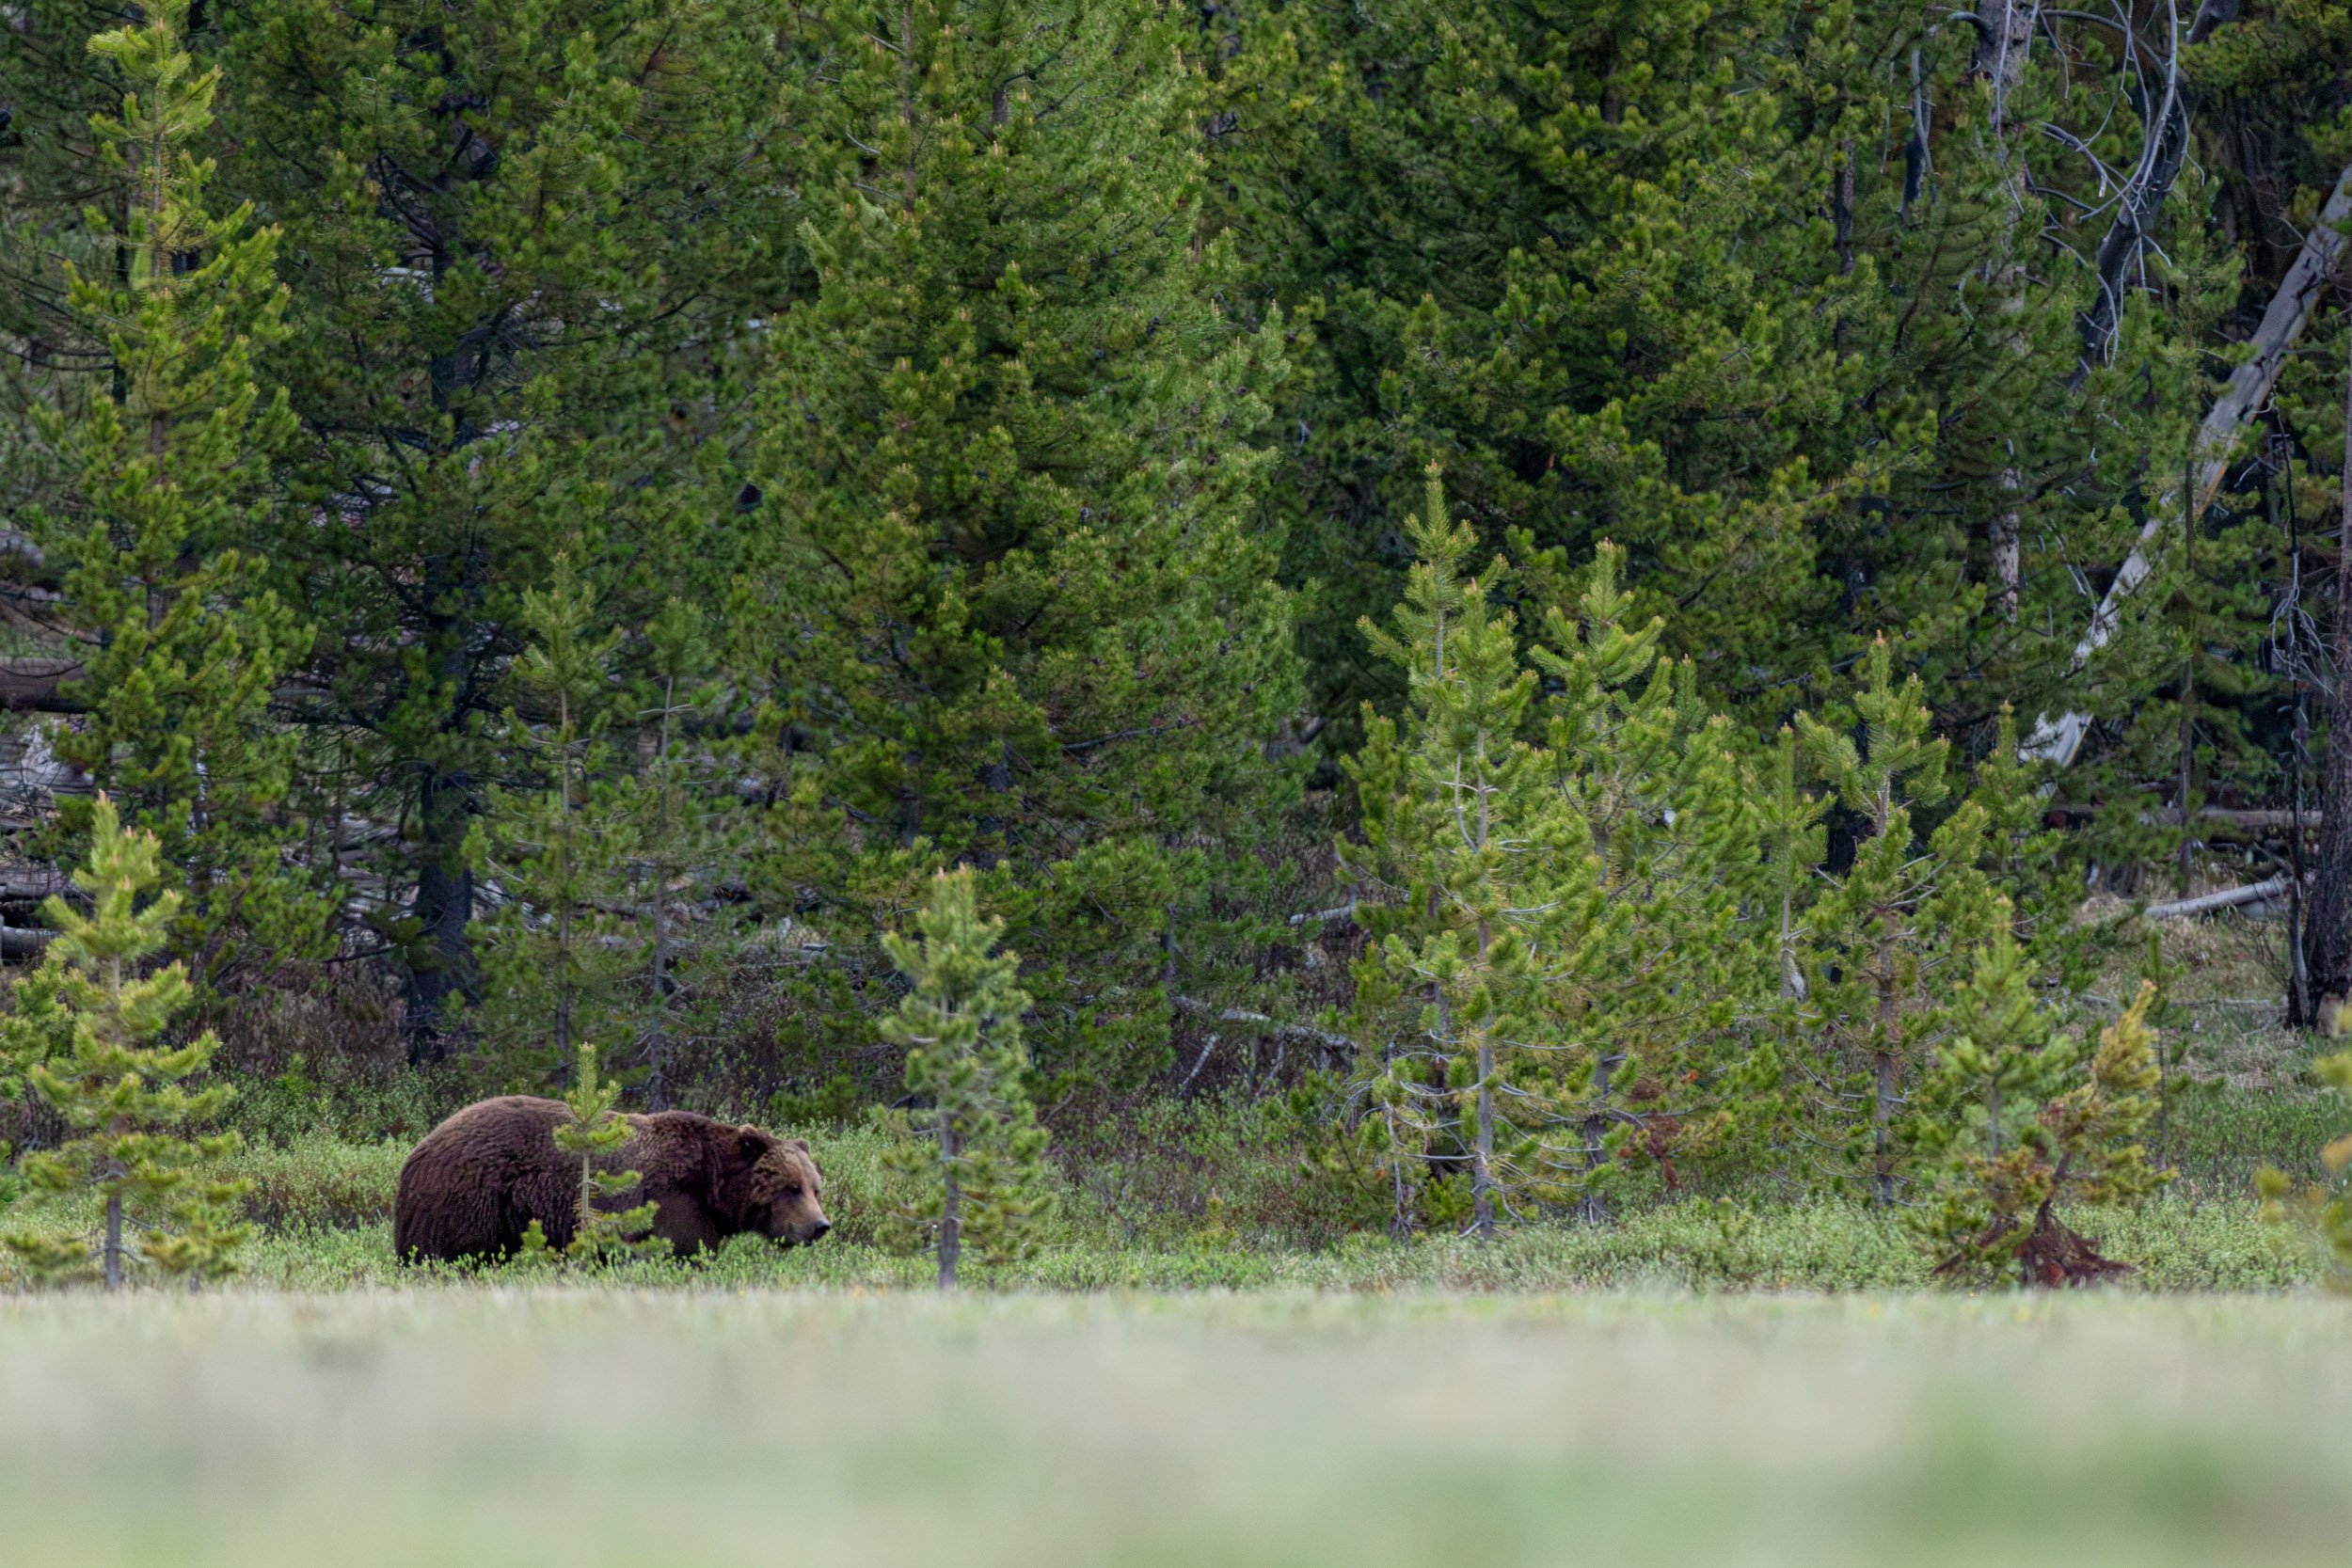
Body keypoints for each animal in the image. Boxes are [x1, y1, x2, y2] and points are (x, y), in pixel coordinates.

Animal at [392, 1095, 830, 1263]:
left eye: (815, 1187)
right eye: (790, 1187)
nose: (820, 1226)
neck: (710, 1187)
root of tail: (417, 1150)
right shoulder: (668, 1206)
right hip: (469, 1204)